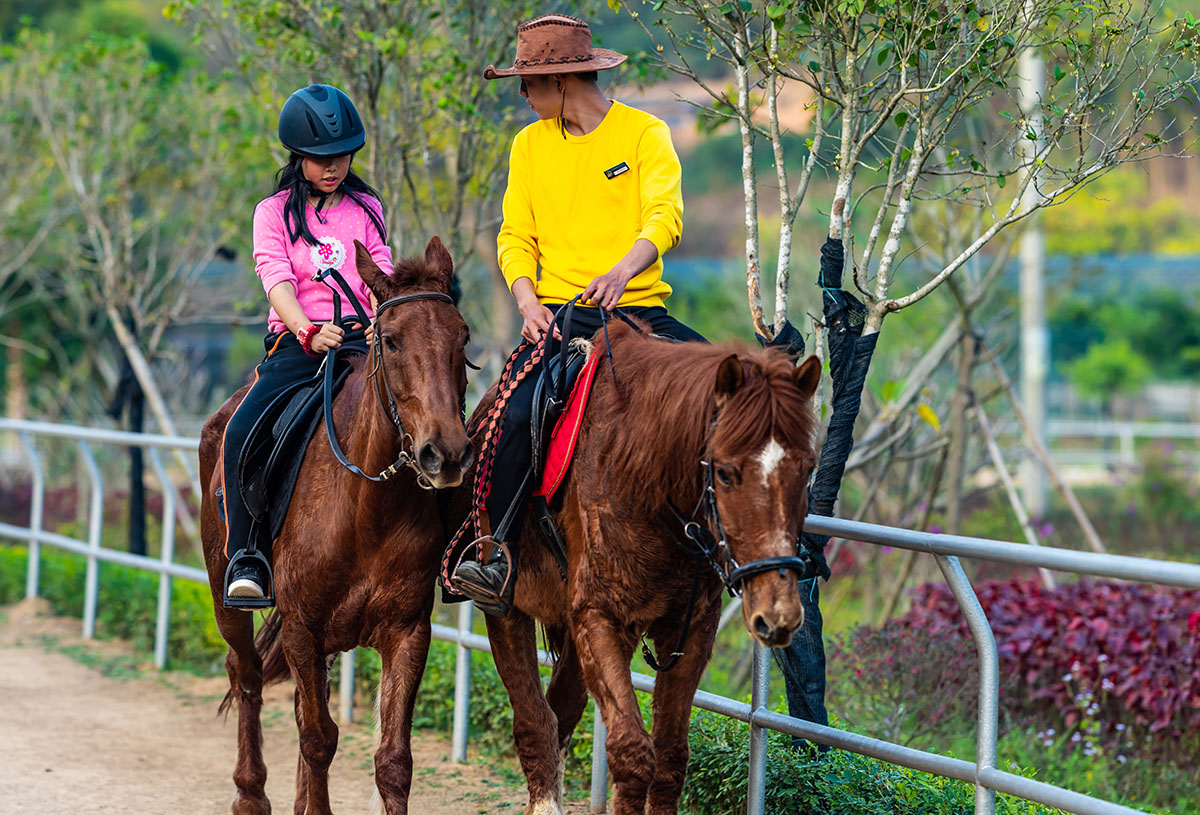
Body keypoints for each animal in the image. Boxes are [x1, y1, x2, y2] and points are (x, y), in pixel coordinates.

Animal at [196, 238, 468, 815]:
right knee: (246, 674)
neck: (369, 507)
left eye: (463, 337)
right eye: (390, 340)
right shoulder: (303, 627)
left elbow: (392, 760)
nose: (446, 453)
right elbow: (318, 739)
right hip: (224, 595)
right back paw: (250, 793)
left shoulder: (407, 631)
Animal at [463, 319, 820, 815]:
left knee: (560, 708)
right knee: (534, 717)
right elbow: (632, 752)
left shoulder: (690, 629)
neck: (645, 471)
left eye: (806, 470)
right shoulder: (598, 618)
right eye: (726, 472)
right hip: (506, 605)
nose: (779, 612)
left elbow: (670, 756)